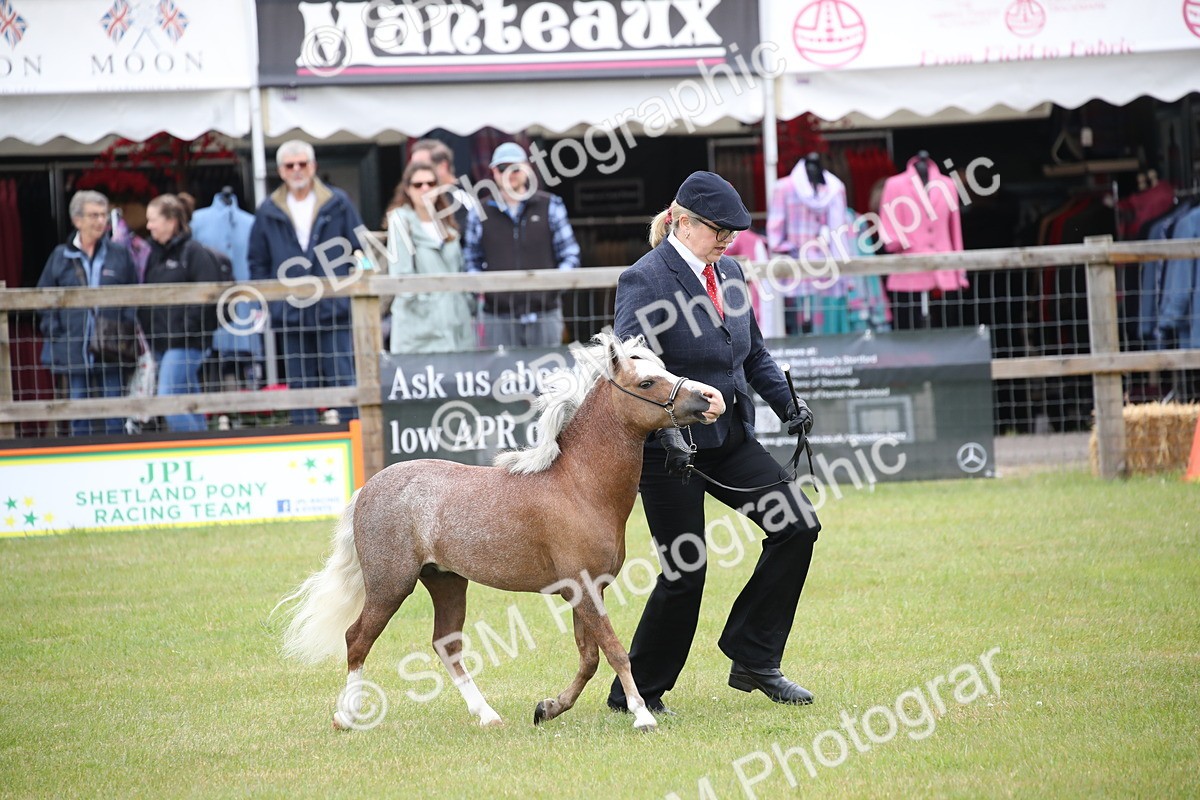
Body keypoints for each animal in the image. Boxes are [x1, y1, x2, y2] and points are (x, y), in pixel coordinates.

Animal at [278, 333, 725, 733]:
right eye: (646, 382)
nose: (708, 399)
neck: (580, 485)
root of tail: (368, 488)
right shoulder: (582, 587)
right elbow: (615, 652)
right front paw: (642, 715)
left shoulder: (586, 590)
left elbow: (589, 658)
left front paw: (548, 708)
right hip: (391, 584)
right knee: (357, 639)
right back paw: (347, 717)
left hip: (445, 581)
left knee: (446, 645)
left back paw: (488, 715)